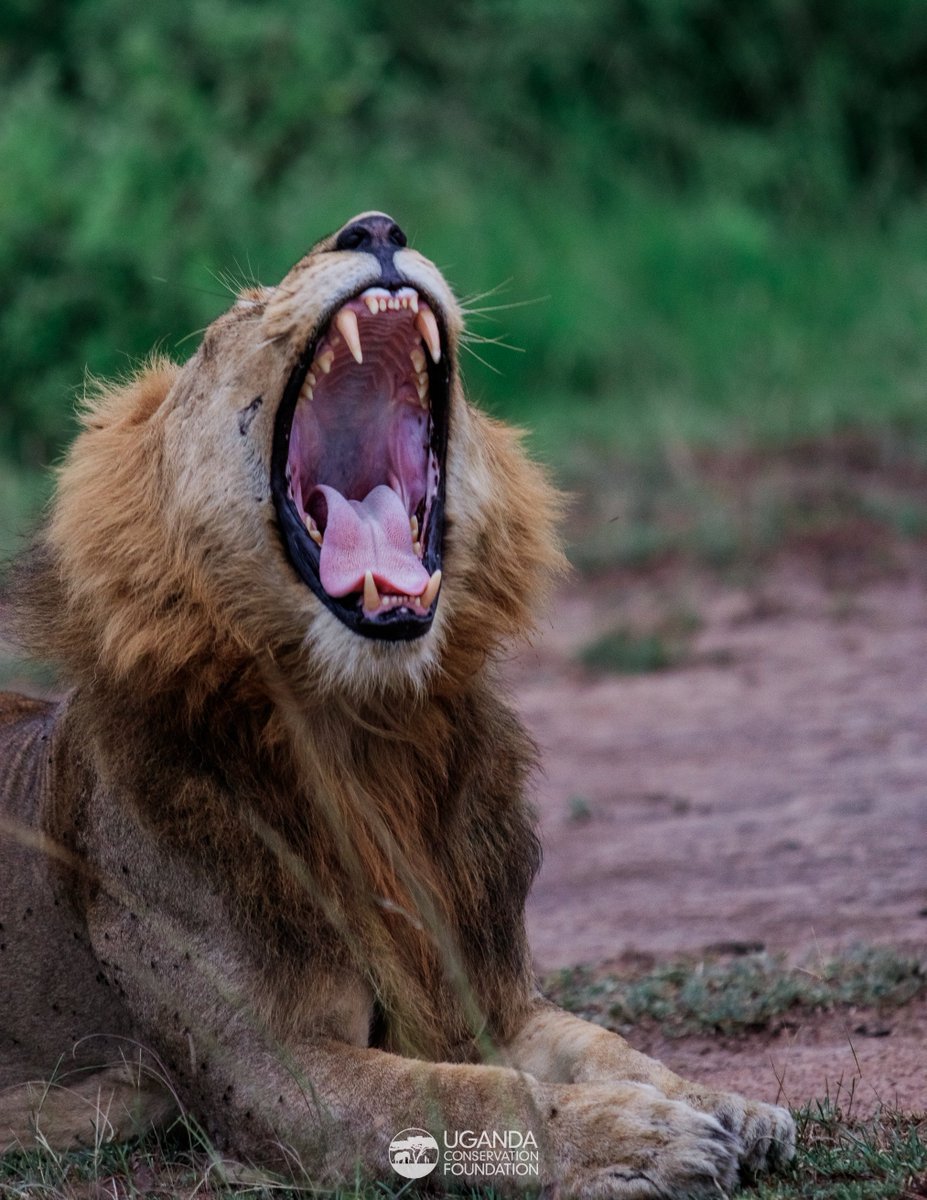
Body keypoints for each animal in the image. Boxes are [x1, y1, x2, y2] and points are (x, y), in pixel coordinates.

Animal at [0, 213, 794, 1196]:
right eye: (241, 314)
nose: (374, 227)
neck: (368, 730)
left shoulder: (489, 991)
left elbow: (608, 1044)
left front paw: (726, 1105)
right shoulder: (270, 1070)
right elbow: (470, 1096)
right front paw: (644, 1137)